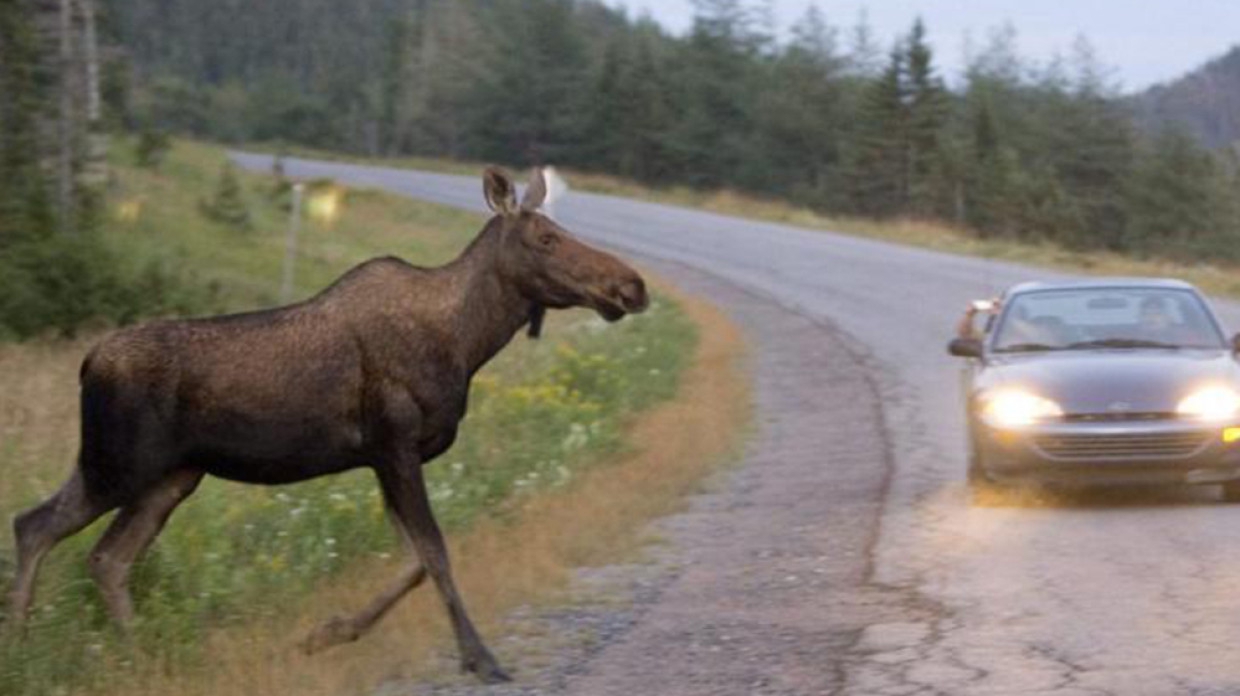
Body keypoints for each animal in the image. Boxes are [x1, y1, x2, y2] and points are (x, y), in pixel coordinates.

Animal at [7, 167, 649, 679]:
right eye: (546, 237)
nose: (633, 285)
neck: (467, 341)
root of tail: (88, 363)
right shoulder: (394, 442)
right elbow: (435, 553)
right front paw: (481, 657)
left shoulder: (387, 457)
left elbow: (412, 561)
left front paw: (324, 634)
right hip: (120, 464)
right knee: (36, 526)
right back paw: (22, 646)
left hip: (167, 477)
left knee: (105, 556)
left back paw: (134, 654)